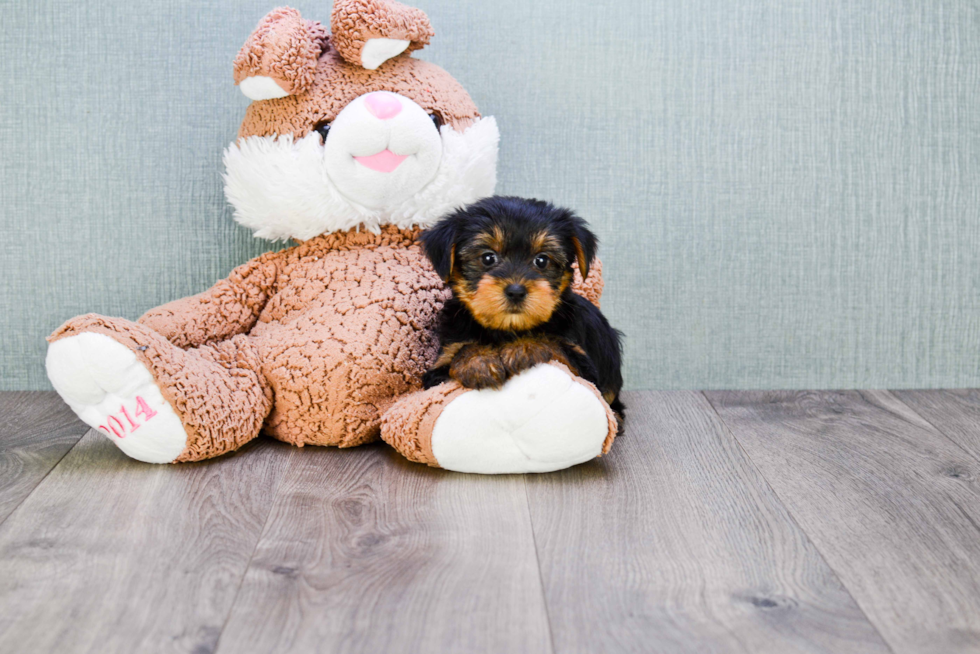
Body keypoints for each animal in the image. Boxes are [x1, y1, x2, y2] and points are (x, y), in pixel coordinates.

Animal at [418, 196, 624, 426]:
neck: (507, 328)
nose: (516, 291)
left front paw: (522, 348)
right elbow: (458, 353)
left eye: (542, 260)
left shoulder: (585, 367)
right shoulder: (438, 368)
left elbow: (554, 343)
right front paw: (478, 361)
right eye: (488, 258)